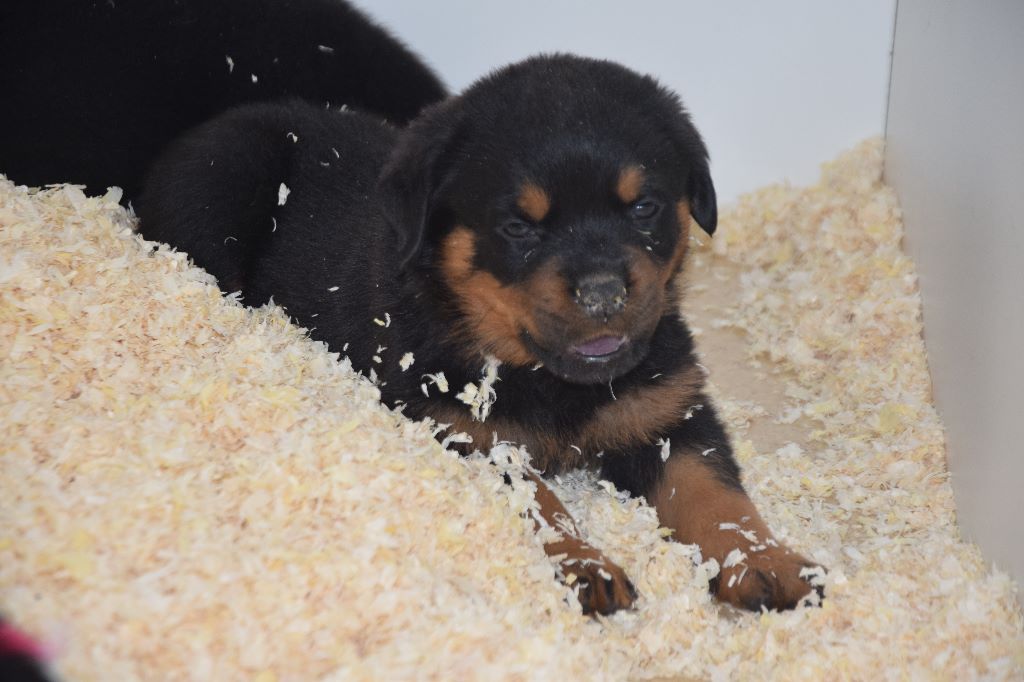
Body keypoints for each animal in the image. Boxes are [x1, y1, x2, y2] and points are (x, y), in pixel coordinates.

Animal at [138, 54, 825, 616]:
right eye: (519, 227)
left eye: (643, 207)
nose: (604, 293)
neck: (551, 381)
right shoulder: (464, 432)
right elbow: (540, 502)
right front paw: (587, 566)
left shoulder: (669, 411)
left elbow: (716, 495)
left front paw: (767, 561)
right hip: (221, 194)